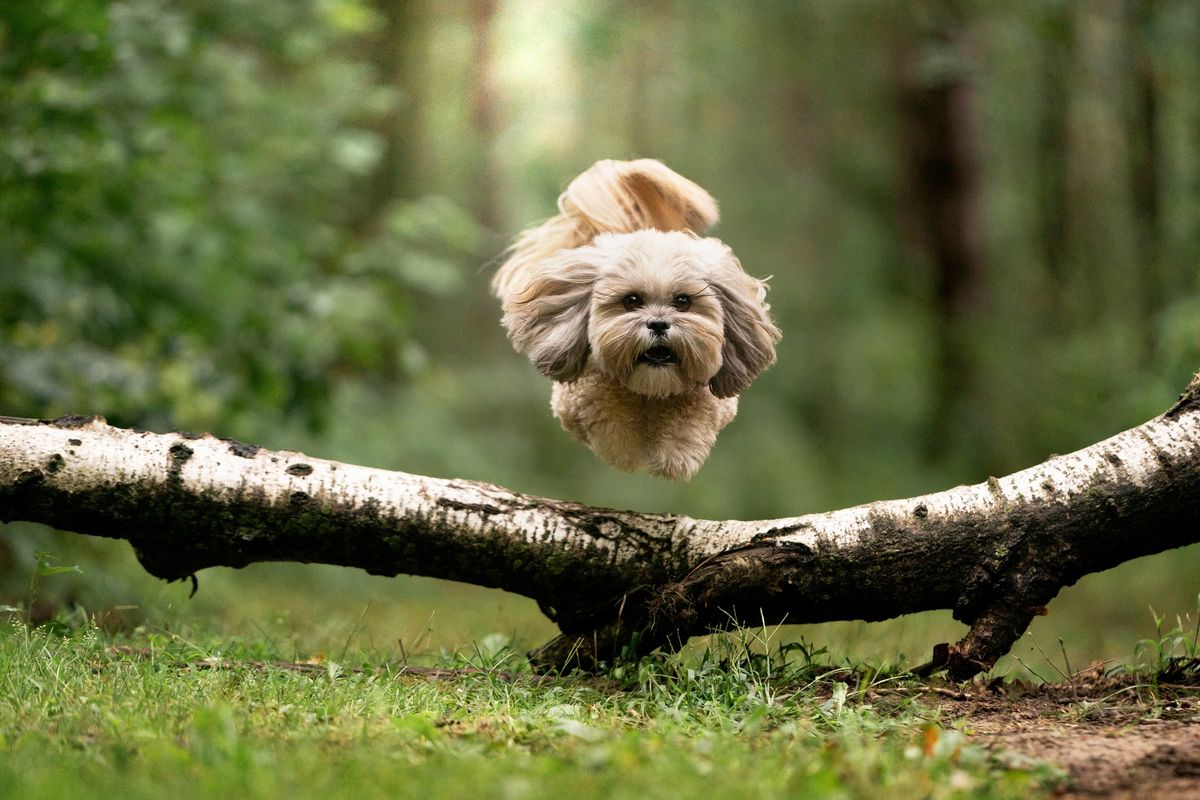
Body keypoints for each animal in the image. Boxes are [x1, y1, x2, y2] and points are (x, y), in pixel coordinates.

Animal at [492, 159, 782, 479]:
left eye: (683, 301)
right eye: (631, 301)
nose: (658, 323)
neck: (650, 391)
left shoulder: (713, 402)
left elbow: (693, 416)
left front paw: (675, 456)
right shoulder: (578, 396)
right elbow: (604, 405)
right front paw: (625, 450)